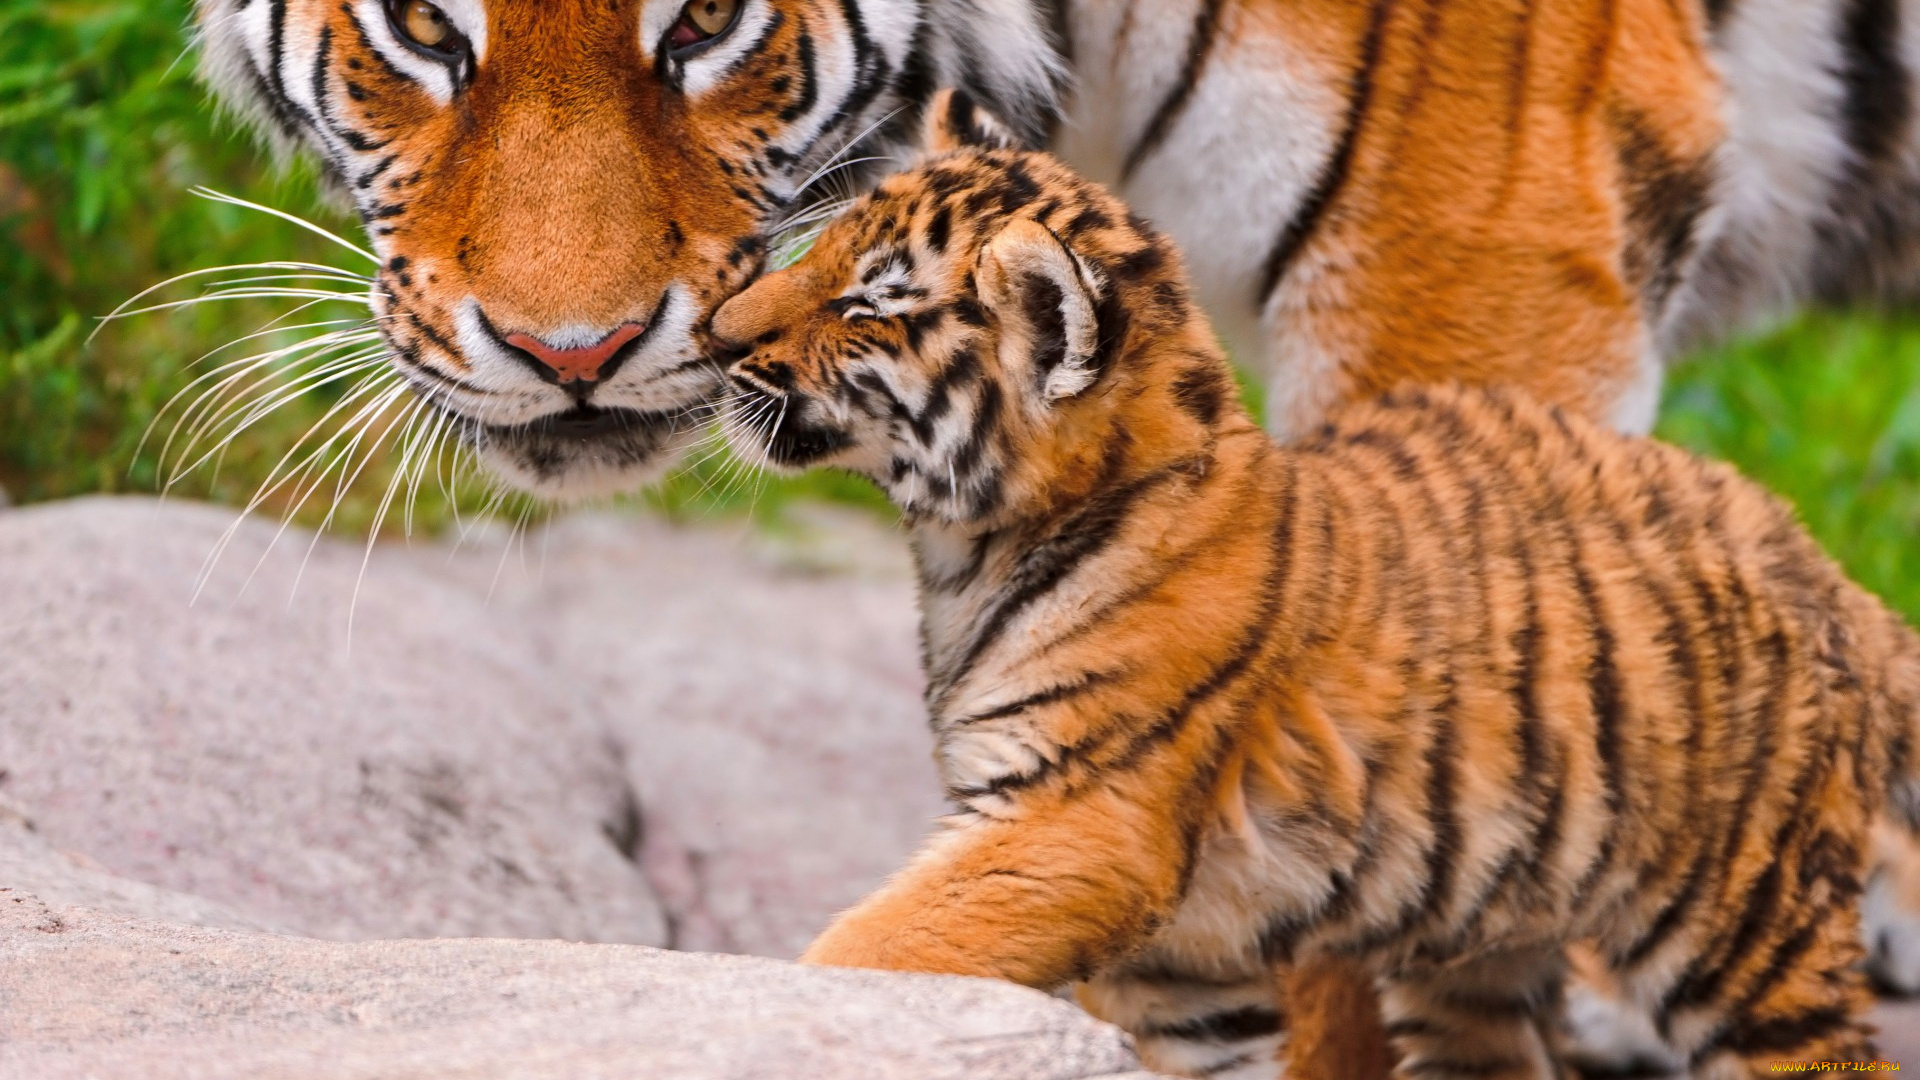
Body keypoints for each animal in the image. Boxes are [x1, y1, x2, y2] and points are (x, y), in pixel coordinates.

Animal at [705, 129, 1920, 1079]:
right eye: (819, 247)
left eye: (868, 303)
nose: (715, 337)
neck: (964, 551)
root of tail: (1823, 560)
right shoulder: (1182, 969)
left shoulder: (1072, 825)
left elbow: (868, 955)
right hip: (1486, 944)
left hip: (1744, 922)